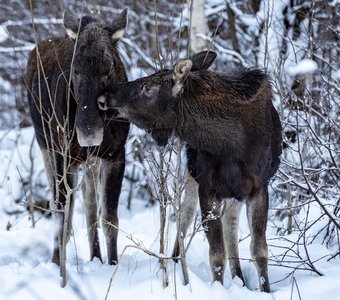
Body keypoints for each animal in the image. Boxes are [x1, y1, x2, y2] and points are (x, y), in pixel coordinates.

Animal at [26, 8, 129, 268]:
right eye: (75, 69)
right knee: (60, 205)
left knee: (89, 205)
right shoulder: (63, 155)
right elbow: (63, 215)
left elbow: (109, 219)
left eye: (109, 67)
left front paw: (113, 263)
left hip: (88, 160)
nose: (88, 131)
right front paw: (57, 265)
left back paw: (96, 256)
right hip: (46, 147)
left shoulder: (115, 153)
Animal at [97, 56, 282, 292]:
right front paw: (218, 287)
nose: (104, 95)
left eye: (148, 88)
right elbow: (216, 254)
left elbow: (259, 250)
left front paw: (265, 290)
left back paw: (239, 277)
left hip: (233, 191)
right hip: (192, 175)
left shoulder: (258, 188)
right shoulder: (208, 187)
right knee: (185, 219)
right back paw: (179, 262)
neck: (230, 144)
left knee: (230, 223)